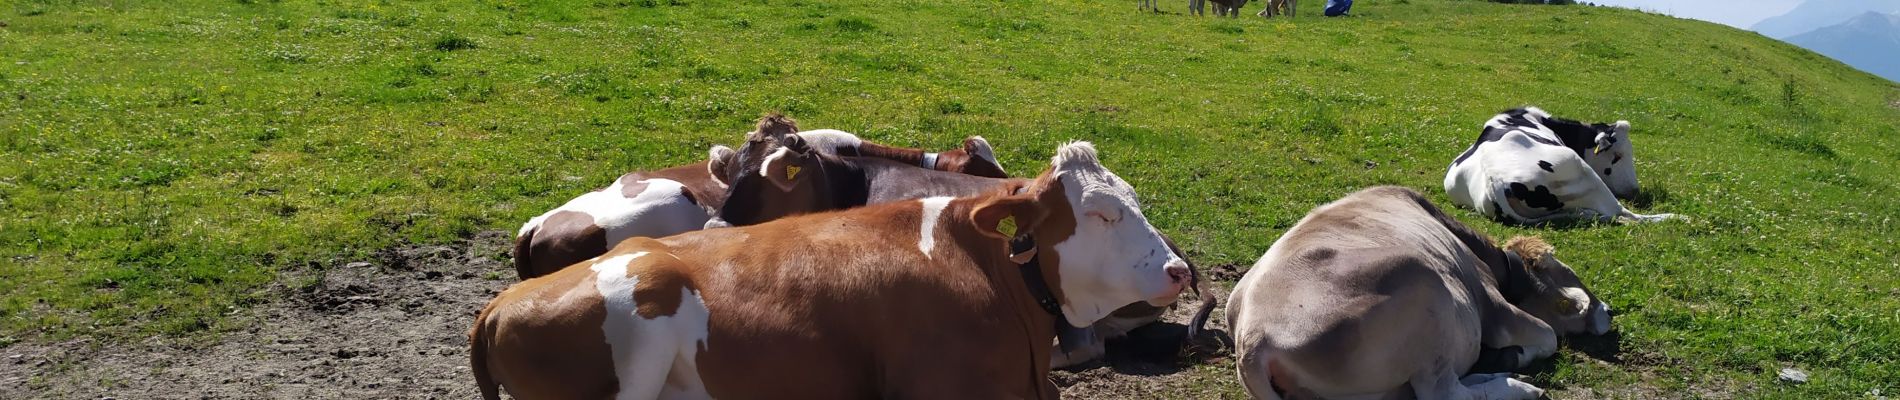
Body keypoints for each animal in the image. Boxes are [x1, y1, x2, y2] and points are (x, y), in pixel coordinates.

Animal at [1223, 187, 1611, 400]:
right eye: (1566, 271)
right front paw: (1514, 354)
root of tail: (1254, 341)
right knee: (1443, 393)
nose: (1607, 311)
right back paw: (1519, 384)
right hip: (1427, 295)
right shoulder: (1490, 301)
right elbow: (1547, 336)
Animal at [1436, 106, 1679, 224]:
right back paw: (1674, 217)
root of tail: (1495, 182)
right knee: (1624, 214)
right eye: (1617, 156)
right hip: (1581, 169)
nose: (1634, 191)